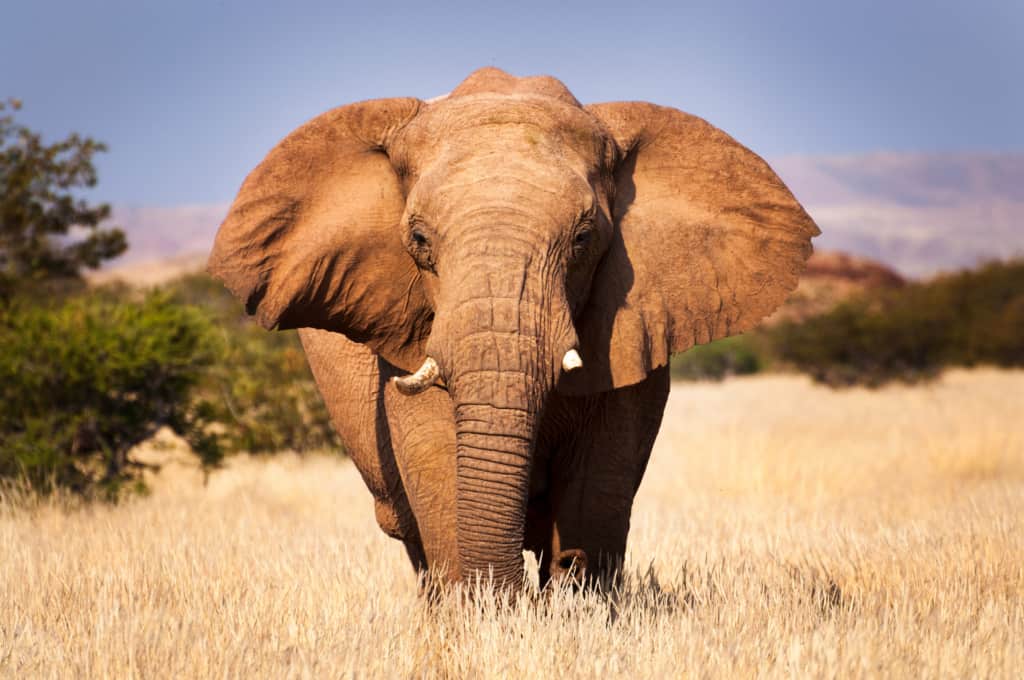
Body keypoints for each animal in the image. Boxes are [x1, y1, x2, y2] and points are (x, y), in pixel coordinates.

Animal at [209, 66, 823, 593]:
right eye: (419, 241)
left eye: (583, 239)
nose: (515, 591)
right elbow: (436, 461)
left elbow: (599, 484)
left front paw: (572, 599)